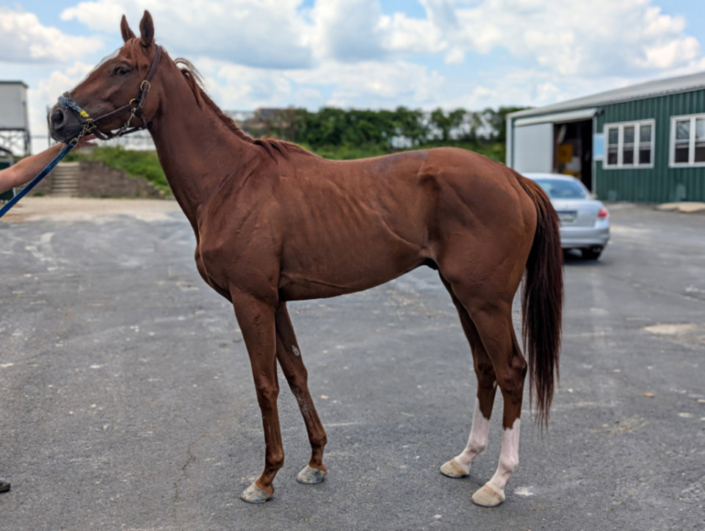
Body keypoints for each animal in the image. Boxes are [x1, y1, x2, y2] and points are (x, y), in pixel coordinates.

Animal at [48, 11, 563, 507]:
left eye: (121, 68)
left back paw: (497, 482)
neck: (230, 181)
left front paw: (265, 478)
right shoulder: (275, 300)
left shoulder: (251, 300)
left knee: (511, 371)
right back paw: (464, 460)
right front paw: (315, 462)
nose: (56, 117)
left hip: (485, 301)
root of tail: (514, 178)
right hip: (462, 296)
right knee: (484, 369)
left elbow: (265, 384)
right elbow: (296, 373)